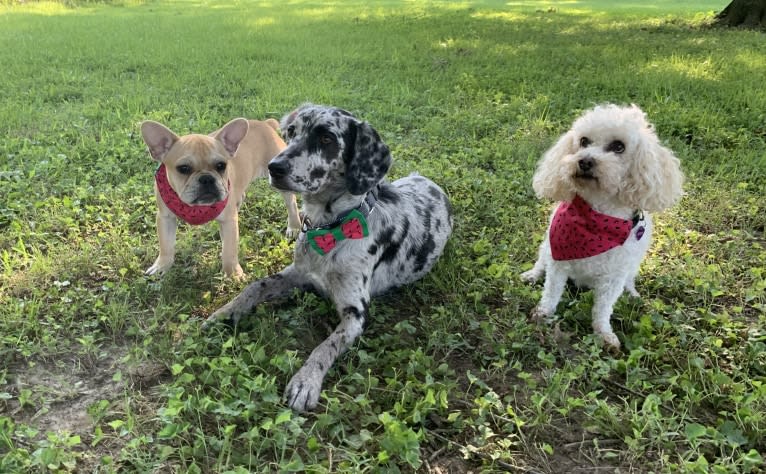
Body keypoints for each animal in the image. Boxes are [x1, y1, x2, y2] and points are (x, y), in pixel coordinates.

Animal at [142, 117, 304, 278]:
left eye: (221, 165)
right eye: (183, 168)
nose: (207, 178)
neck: (197, 208)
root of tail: (265, 124)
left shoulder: (228, 222)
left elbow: (229, 250)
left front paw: (232, 273)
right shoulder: (165, 218)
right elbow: (166, 244)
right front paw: (162, 265)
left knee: (291, 203)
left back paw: (294, 226)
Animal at [204, 104, 456, 412]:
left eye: (326, 139)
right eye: (292, 132)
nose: (274, 167)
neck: (329, 228)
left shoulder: (355, 313)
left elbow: (325, 346)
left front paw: (305, 381)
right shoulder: (296, 273)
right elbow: (255, 286)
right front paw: (225, 312)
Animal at [520, 104, 684, 348]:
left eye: (619, 146)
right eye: (584, 141)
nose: (585, 161)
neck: (597, 220)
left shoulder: (614, 277)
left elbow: (603, 309)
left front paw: (604, 334)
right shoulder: (559, 261)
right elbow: (551, 291)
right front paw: (543, 313)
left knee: (629, 281)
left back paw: (632, 294)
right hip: (547, 247)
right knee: (541, 262)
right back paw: (532, 275)